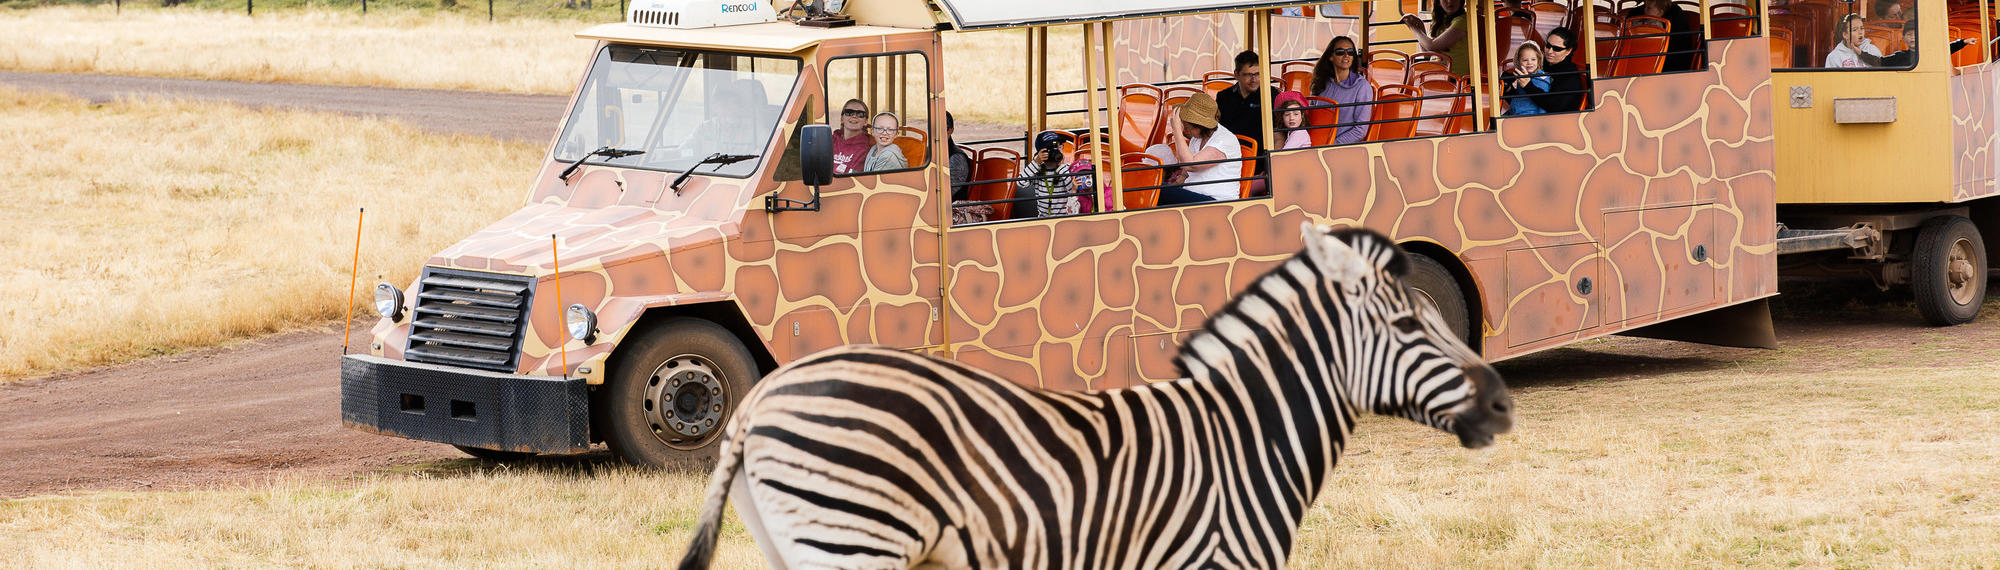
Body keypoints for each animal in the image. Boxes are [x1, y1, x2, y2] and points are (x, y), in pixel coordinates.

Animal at [680, 224, 1504, 564]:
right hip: (852, 537)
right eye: (1409, 323)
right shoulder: (1216, 561)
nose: (1501, 402)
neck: (1245, 434)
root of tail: (757, 402)